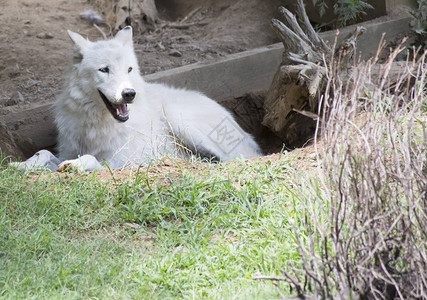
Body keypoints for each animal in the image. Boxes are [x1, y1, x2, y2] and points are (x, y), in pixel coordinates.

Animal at [10, 26, 260, 171]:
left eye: (129, 69)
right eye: (104, 70)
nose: (129, 94)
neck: (95, 124)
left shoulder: (121, 161)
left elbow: (91, 159)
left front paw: (76, 166)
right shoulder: (66, 149)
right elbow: (44, 153)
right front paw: (21, 165)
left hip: (179, 117)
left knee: (233, 159)